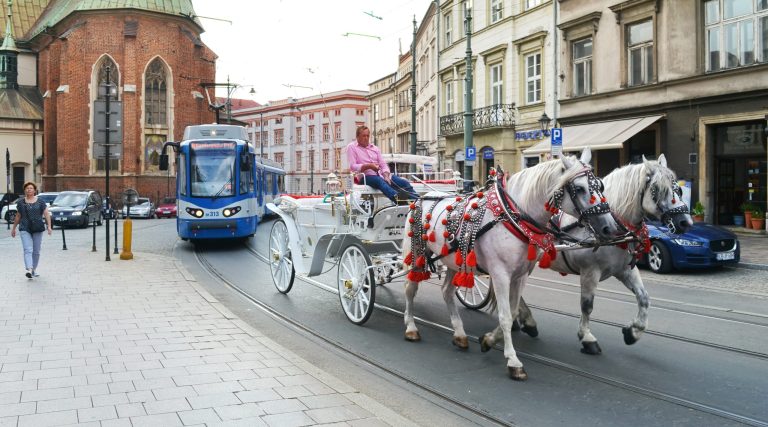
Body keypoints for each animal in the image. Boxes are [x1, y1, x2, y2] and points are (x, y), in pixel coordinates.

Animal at [402, 148, 616, 382]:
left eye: (600, 186)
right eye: (579, 188)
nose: (610, 228)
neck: (513, 217)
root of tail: (421, 198)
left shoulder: (521, 275)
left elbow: (513, 311)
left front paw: (488, 340)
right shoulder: (500, 274)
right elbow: (505, 316)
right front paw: (513, 361)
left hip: (453, 262)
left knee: (447, 291)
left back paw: (459, 334)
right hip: (416, 254)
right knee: (410, 289)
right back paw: (411, 328)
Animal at [500, 154, 692, 354]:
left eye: (678, 188)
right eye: (657, 189)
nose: (685, 222)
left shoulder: (626, 270)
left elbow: (644, 298)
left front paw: (634, 332)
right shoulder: (590, 271)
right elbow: (587, 305)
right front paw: (586, 337)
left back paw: (524, 321)